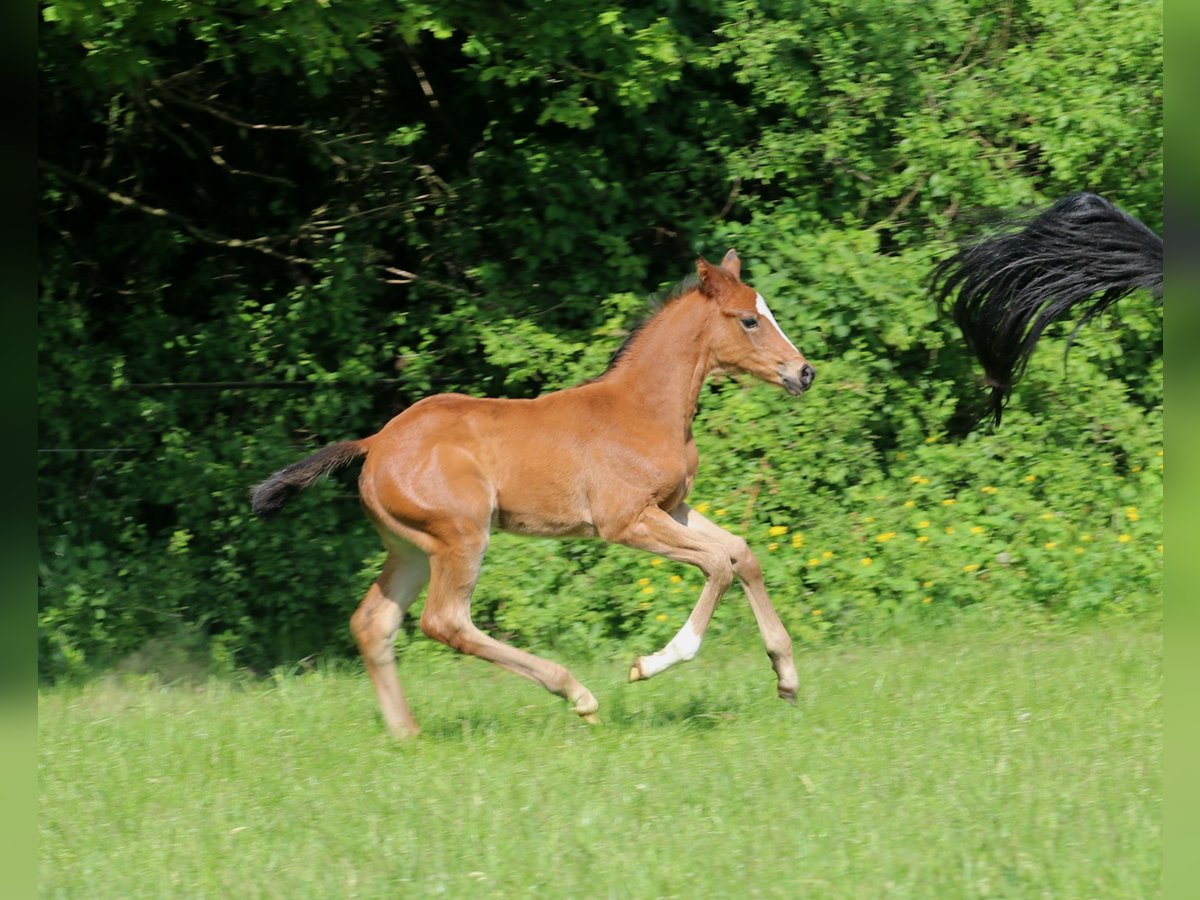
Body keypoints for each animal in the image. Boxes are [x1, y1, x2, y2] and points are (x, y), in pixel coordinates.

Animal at [252, 248, 816, 739]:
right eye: (749, 320)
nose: (804, 372)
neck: (644, 408)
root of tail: (375, 444)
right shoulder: (625, 521)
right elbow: (718, 564)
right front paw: (648, 665)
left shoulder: (671, 508)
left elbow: (741, 553)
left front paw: (787, 678)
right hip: (460, 536)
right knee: (445, 621)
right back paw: (577, 694)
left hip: (409, 548)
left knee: (374, 623)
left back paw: (407, 734)